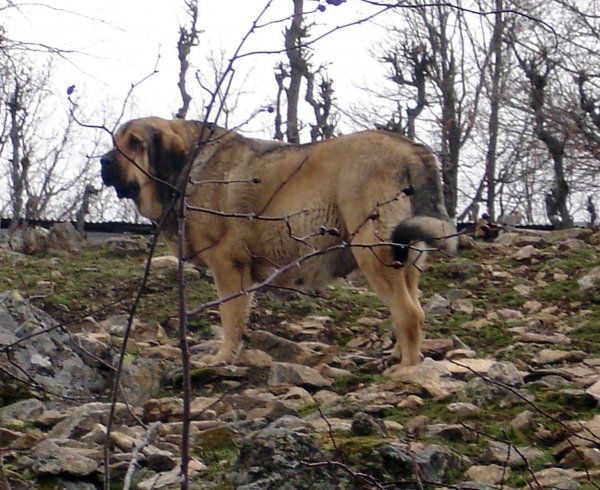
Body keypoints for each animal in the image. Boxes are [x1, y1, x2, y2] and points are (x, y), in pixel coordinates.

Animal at [101, 117, 458, 368]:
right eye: (116, 140)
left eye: (135, 143)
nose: (104, 162)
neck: (187, 166)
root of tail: (412, 149)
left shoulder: (229, 267)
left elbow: (231, 317)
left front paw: (222, 357)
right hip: (406, 259)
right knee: (410, 307)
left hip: (374, 252)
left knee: (409, 314)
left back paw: (407, 370)